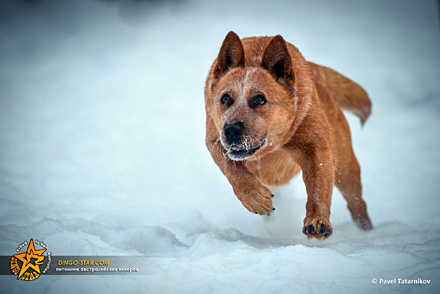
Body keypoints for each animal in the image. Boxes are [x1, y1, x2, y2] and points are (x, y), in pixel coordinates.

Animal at [205, 31, 372, 239]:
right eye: (225, 98)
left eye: (259, 99)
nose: (231, 130)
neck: (272, 147)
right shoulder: (214, 140)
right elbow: (233, 169)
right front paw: (256, 198)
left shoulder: (314, 147)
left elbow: (319, 186)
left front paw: (317, 220)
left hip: (344, 166)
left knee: (356, 201)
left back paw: (366, 232)